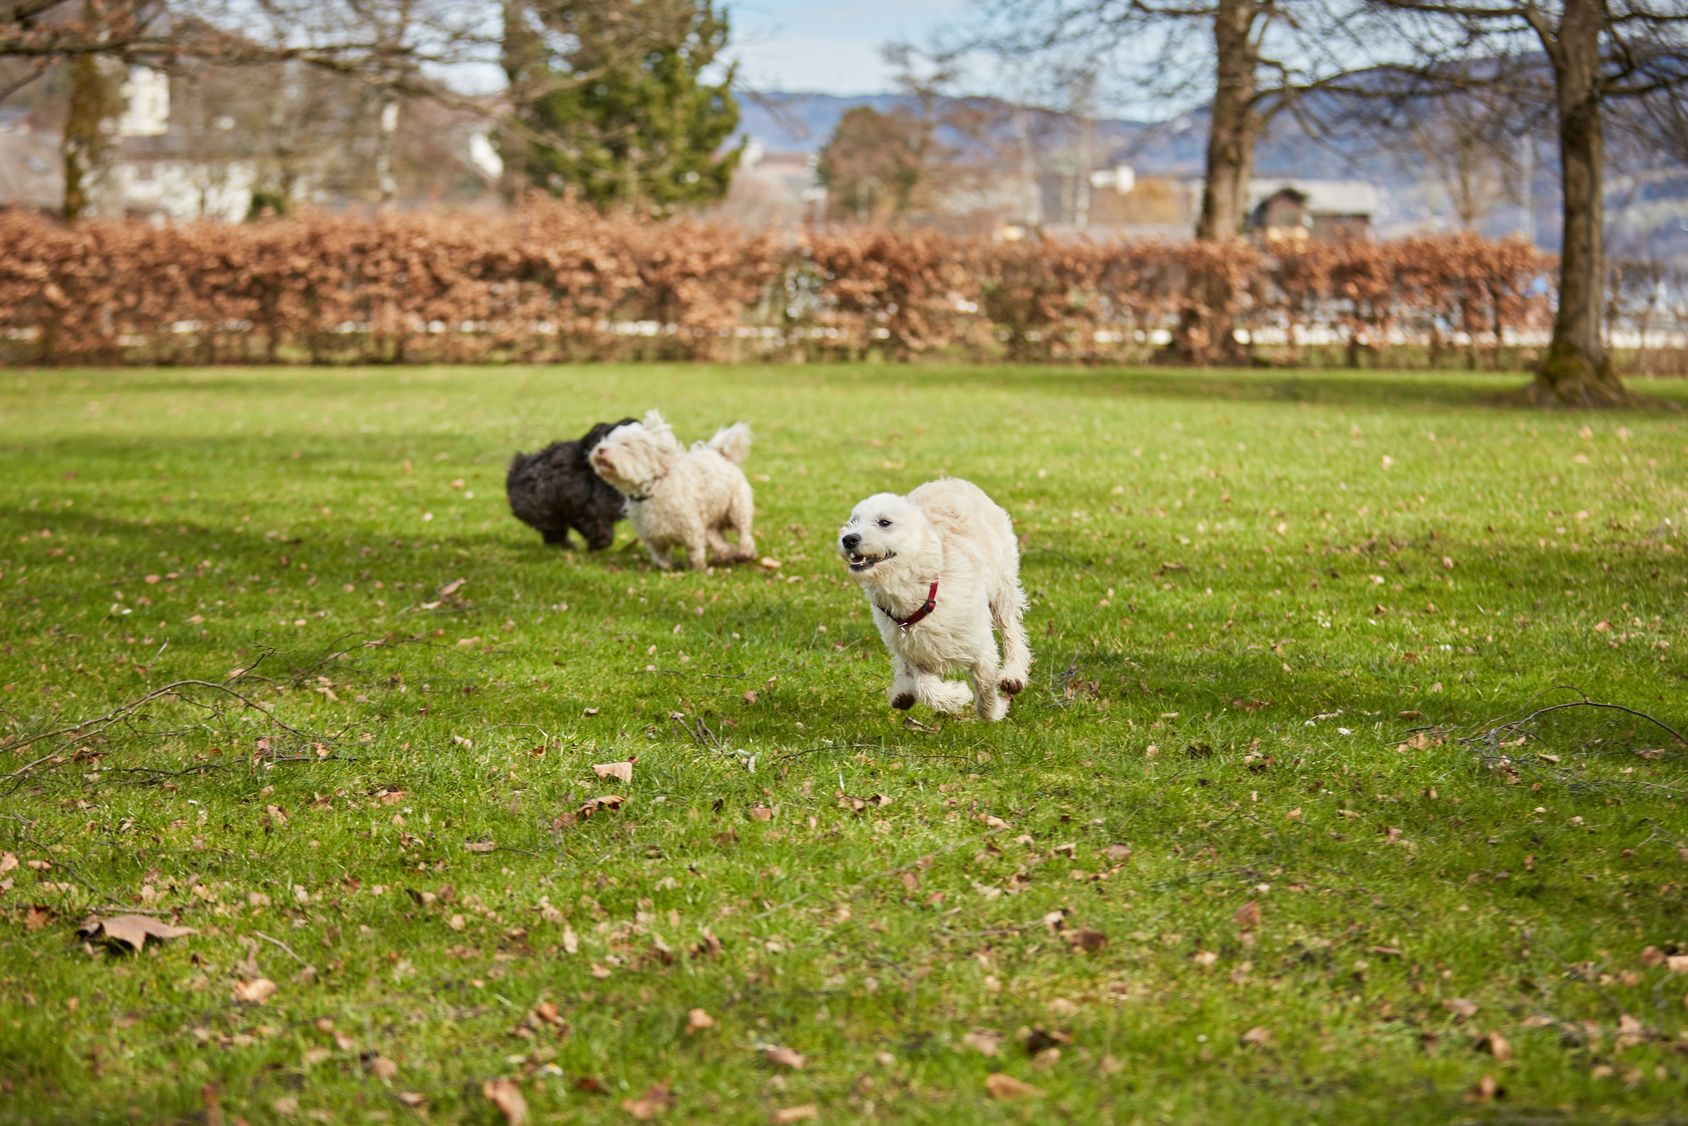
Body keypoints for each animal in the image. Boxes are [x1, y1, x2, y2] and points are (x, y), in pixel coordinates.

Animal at [590, 410, 756, 573]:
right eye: (605, 440)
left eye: (625, 444)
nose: (600, 449)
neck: (652, 489)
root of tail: (721, 455)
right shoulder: (653, 537)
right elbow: (661, 559)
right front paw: (672, 565)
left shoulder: (691, 529)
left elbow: (696, 551)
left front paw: (699, 569)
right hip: (709, 522)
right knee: (717, 540)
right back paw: (726, 554)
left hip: (737, 508)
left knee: (744, 532)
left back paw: (745, 552)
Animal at [833, 479, 1019, 722]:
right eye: (854, 521)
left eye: (884, 522)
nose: (848, 539)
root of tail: (951, 480)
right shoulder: (913, 651)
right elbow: (925, 687)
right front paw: (957, 696)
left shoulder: (981, 646)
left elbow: (985, 687)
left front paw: (993, 711)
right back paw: (903, 691)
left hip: (1003, 589)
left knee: (1012, 630)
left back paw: (1015, 672)